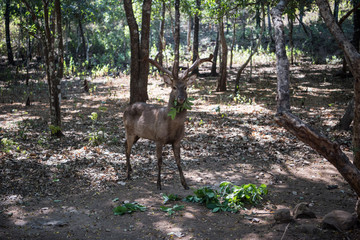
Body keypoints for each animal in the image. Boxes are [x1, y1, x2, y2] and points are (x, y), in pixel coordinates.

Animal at [124, 54, 214, 189]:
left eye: (185, 87)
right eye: (174, 87)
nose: (181, 98)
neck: (171, 127)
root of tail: (125, 109)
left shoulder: (177, 140)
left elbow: (179, 161)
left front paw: (185, 184)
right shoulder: (159, 138)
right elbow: (159, 161)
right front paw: (158, 184)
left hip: (137, 134)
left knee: (125, 145)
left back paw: (130, 169)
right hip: (129, 130)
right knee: (128, 149)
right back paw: (128, 175)